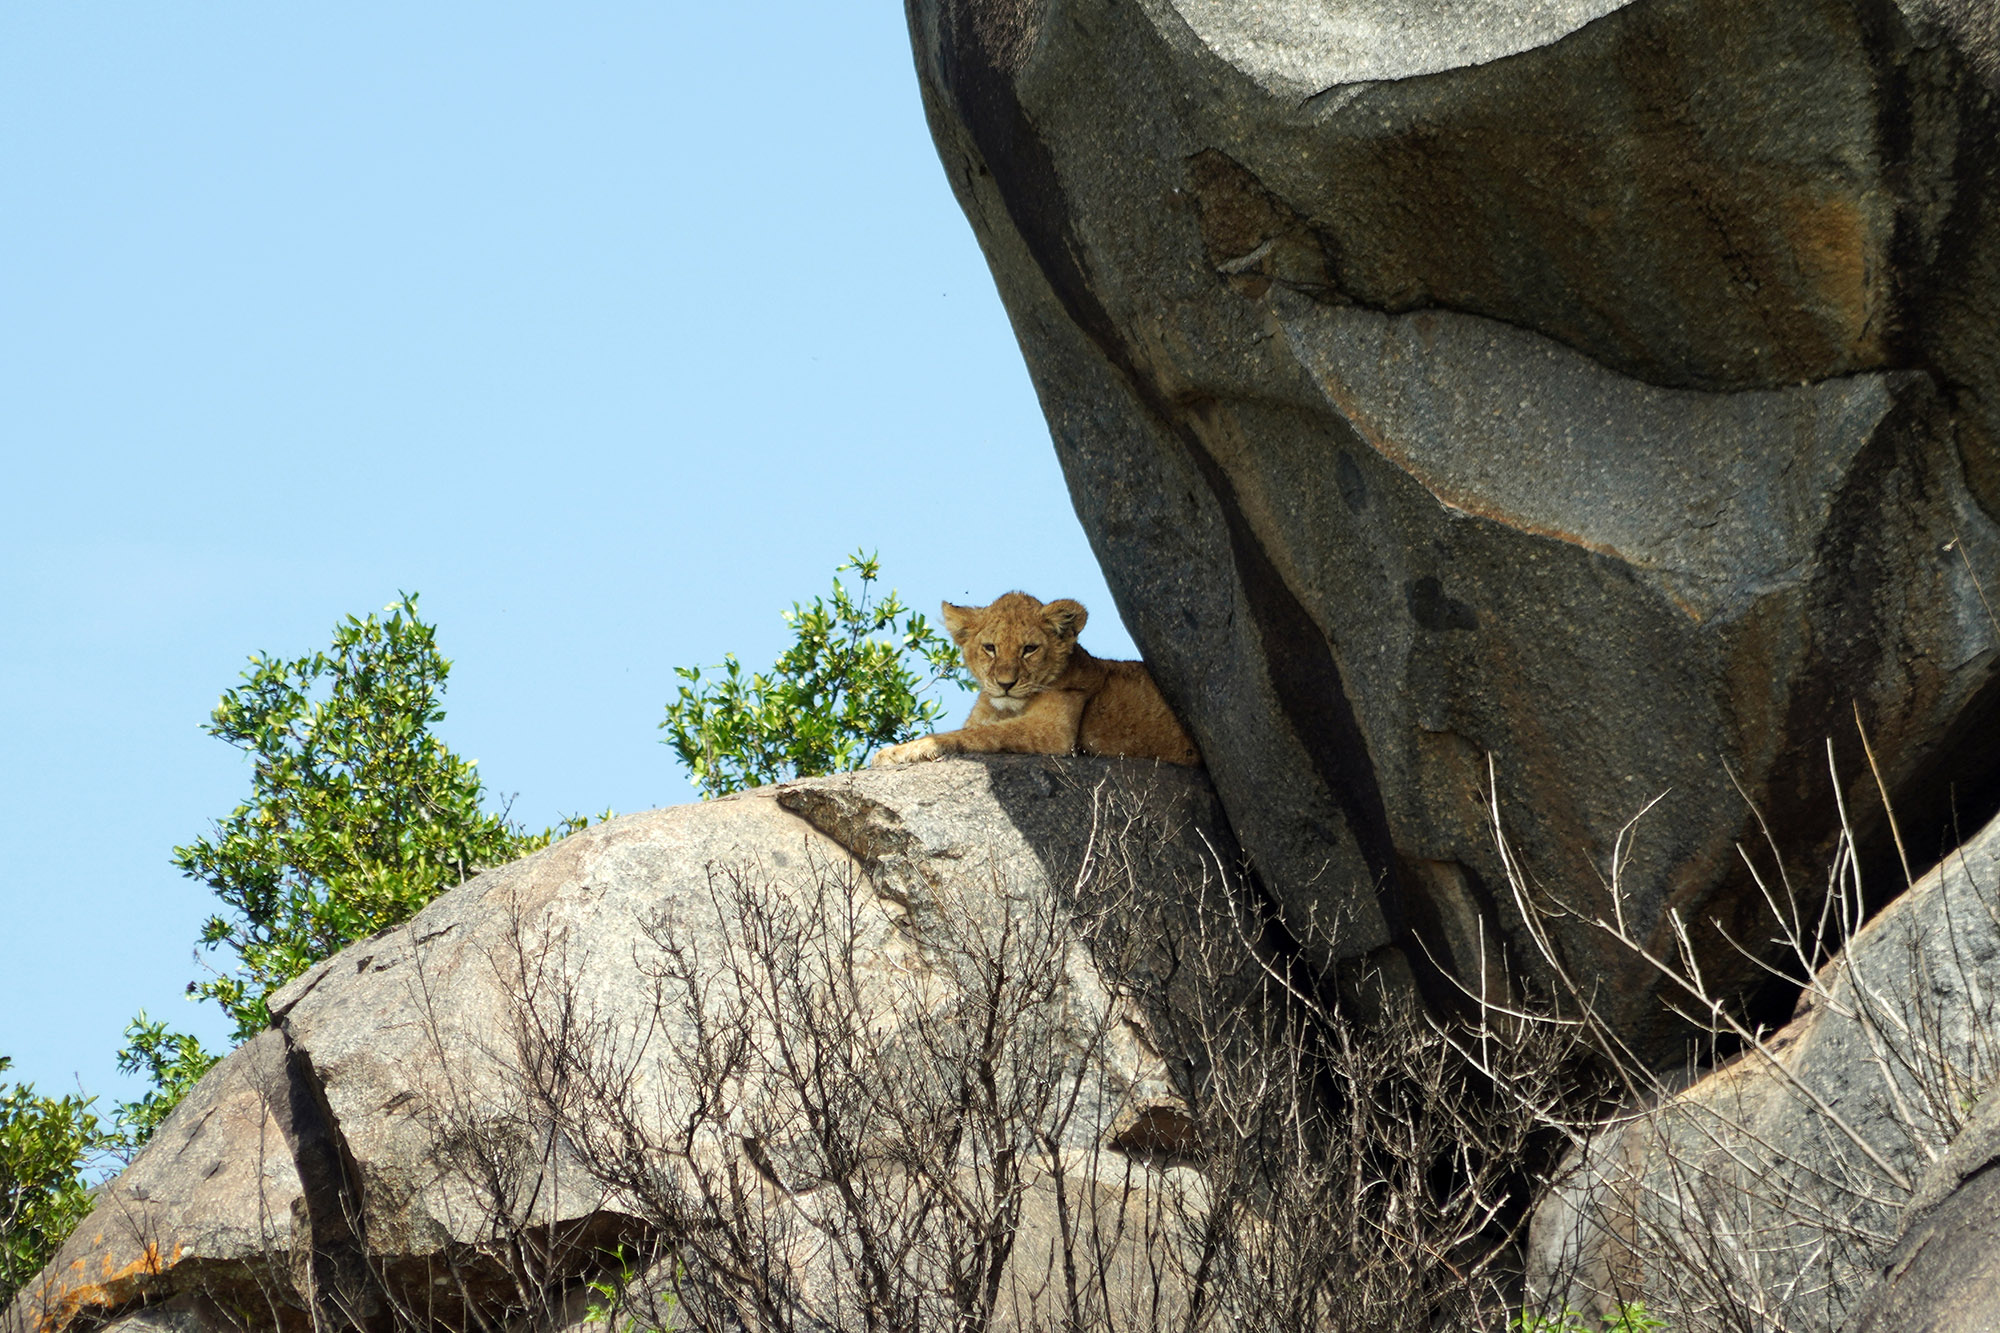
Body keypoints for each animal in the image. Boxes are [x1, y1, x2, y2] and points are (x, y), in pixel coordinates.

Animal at [871, 591, 1201, 768]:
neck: (1008, 707)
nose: (1005, 684)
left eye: (1029, 649)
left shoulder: (1055, 731)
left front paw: (895, 752)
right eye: (990, 648)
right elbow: (972, 730)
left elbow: (978, 734)